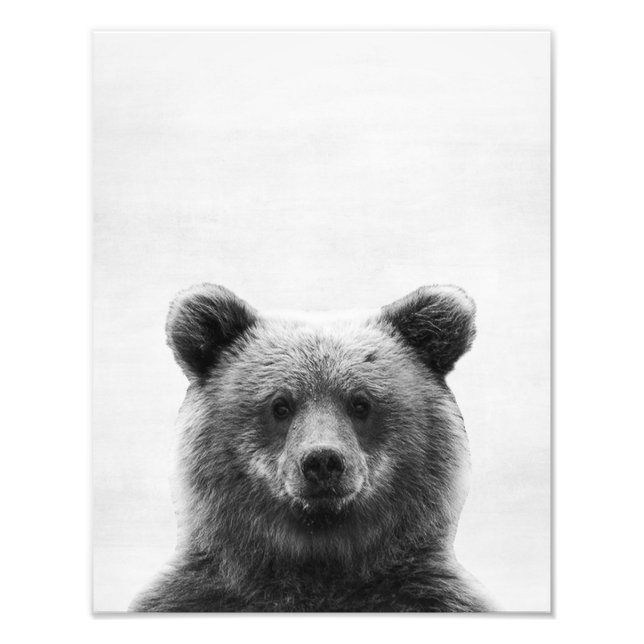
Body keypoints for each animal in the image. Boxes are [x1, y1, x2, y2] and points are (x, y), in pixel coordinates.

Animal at [129, 283, 494, 612]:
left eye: (361, 403)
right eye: (280, 405)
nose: (322, 461)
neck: (318, 553)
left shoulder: (425, 594)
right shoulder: (200, 595)